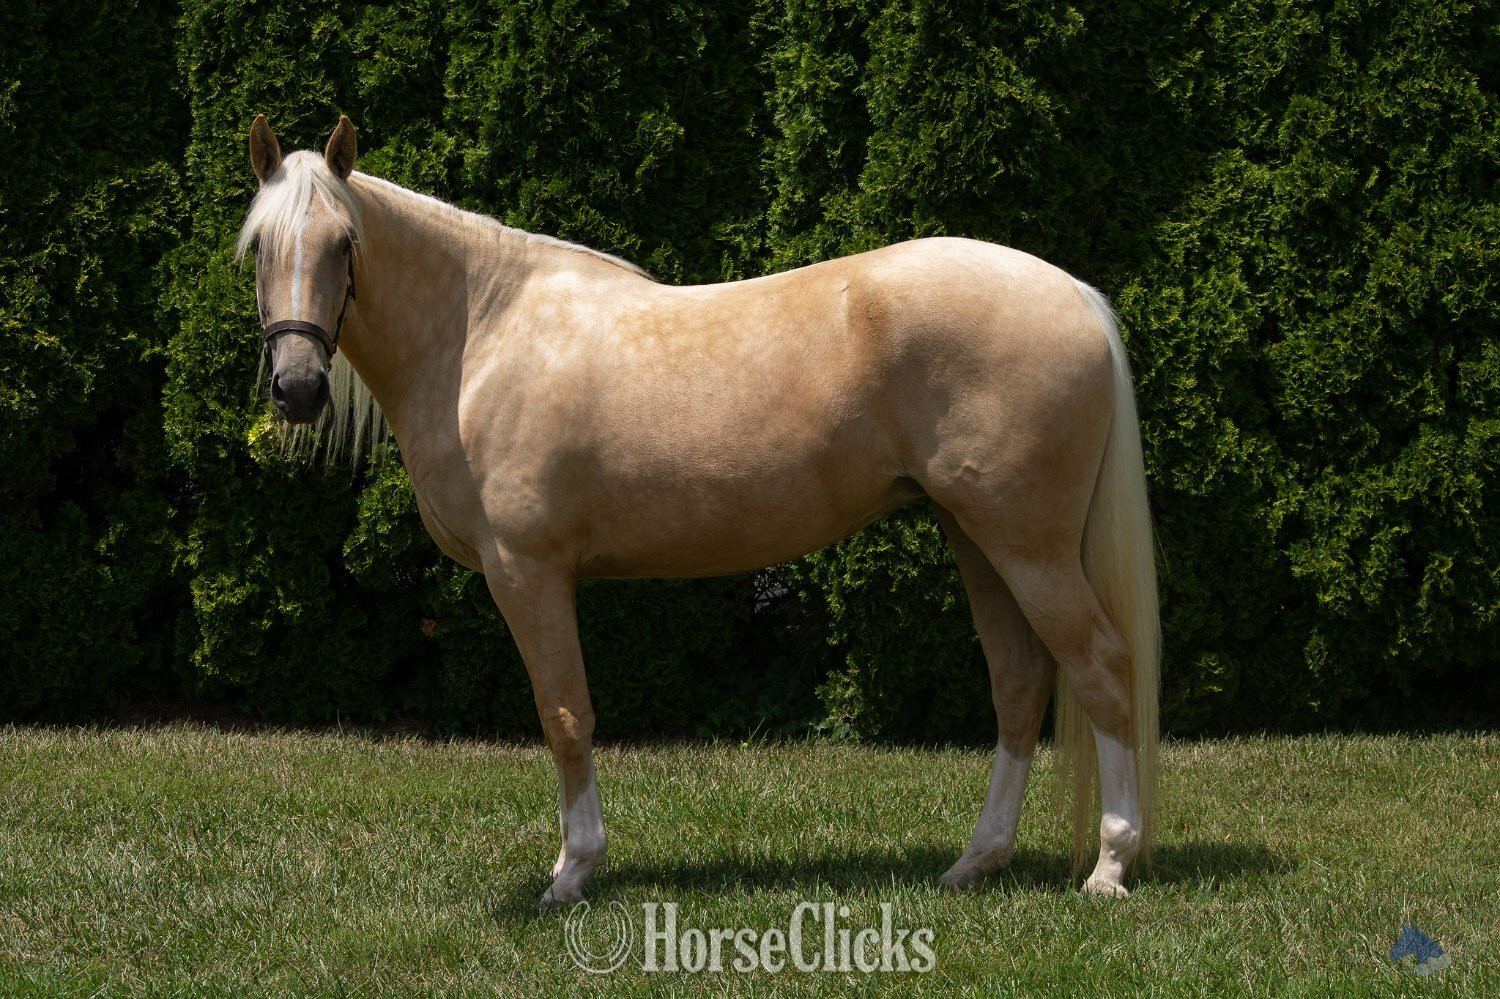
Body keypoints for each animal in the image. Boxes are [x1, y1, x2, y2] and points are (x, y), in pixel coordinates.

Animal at [237, 115, 1160, 909]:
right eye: (257, 247)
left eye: (346, 243)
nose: (297, 388)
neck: (481, 335)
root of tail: (1076, 295)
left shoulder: (528, 572)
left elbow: (565, 716)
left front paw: (573, 872)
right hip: (976, 537)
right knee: (1021, 682)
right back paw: (975, 860)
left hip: (1029, 546)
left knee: (1102, 668)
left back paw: (1111, 865)